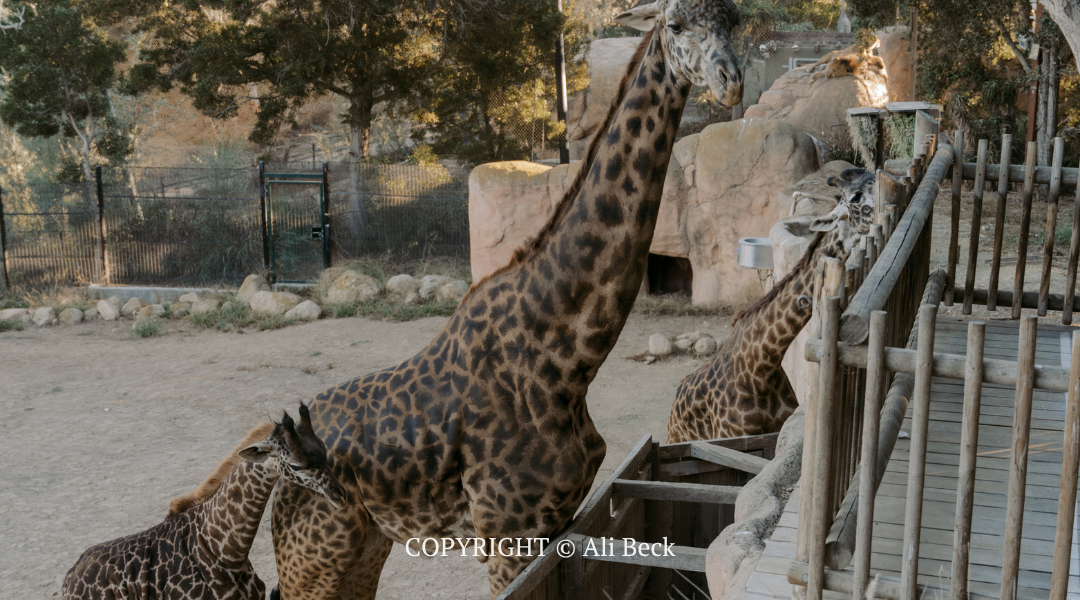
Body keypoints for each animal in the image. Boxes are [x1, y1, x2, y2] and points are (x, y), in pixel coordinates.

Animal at [269, 2, 743, 598]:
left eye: (736, 19)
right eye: (676, 24)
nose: (731, 81)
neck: (565, 361)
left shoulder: (555, 521)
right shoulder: (506, 535)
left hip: (363, 547)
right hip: (314, 558)